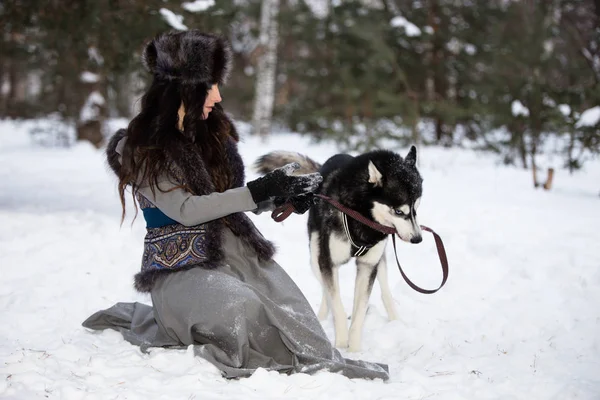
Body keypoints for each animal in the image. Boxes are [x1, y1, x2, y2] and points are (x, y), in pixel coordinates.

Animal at [255, 146, 424, 350]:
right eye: (399, 211)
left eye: (416, 208)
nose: (417, 239)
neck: (359, 218)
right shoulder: (327, 262)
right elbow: (336, 305)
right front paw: (342, 345)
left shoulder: (368, 265)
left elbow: (359, 311)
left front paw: (355, 349)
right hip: (315, 258)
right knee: (326, 293)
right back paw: (321, 317)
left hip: (378, 262)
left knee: (383, 290)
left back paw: (394, 319)